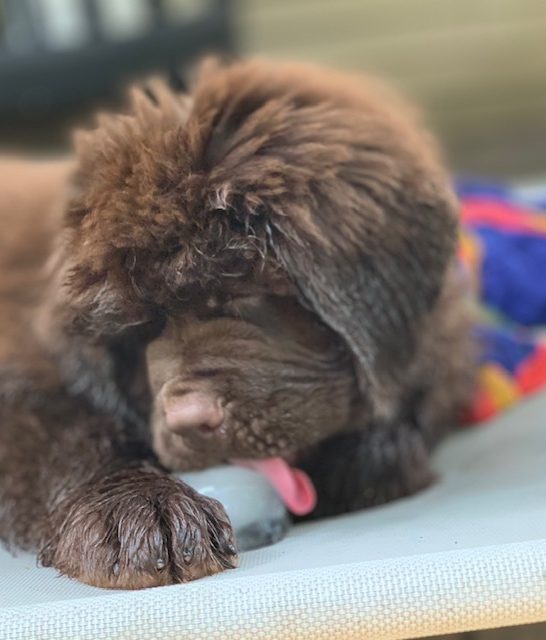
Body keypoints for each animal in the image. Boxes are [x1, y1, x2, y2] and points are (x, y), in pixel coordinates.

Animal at [0, 57, 474, 588]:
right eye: (138, 331)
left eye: (241, 291)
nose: (189, 420)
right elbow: (64, 435)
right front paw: (136, 507)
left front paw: (373, 450)